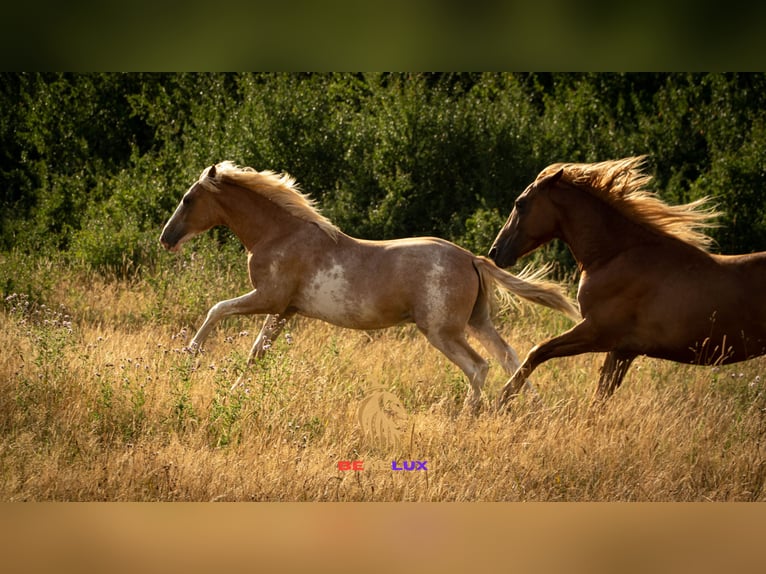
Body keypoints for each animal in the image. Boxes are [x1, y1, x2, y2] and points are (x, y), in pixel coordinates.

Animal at [162, 162, 584, 414]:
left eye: (187, 198)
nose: (166, 239)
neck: (279, 235)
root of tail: (470, 259)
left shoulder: (268, 298)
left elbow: (217, 309)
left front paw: (189, 356)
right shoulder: (284, 310)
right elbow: (256, 353)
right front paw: (236, 390)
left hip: (442, 331)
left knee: (478, 366)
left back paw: (469, 415)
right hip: (478, 322)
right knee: (511, 358)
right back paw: (529, 407)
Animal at [488, 156, 766, 410]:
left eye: (520, 204)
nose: (494, 252)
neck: (614, 255)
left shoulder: (597, 333)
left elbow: (538, 351)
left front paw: (503, 399)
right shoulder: (622, 350)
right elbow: (599, 398)